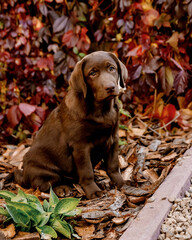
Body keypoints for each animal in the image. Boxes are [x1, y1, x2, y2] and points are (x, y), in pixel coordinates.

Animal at [14, 51, 128, 199]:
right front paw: (93, 191)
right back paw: (62, 189)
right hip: (44, 171)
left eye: (111, 68)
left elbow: (113, 165)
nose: (110, 87)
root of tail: (24, 175)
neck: (102, 110)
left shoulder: (113, 139)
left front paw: (120, 183)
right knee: (45, 185)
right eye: (92, 73)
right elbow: (86, 171)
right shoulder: (80, 146)